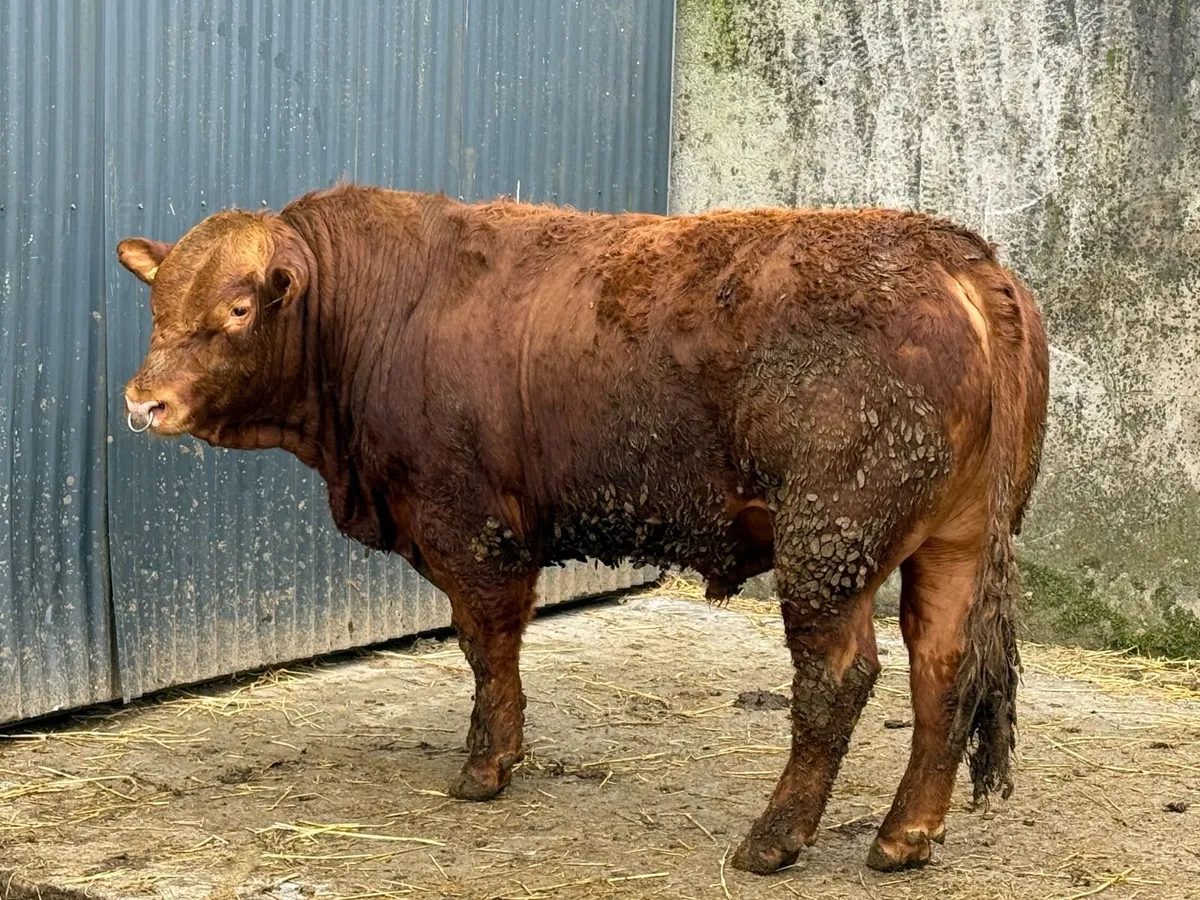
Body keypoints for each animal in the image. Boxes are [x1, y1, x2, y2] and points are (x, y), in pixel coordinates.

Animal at [117, 183, 1049, 875]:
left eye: (240, 308)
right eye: (158, 304)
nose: (142, 401)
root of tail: (954, 253)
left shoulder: (468, 526)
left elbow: (487, 646)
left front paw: (486, 767)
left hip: (830, 542)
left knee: (838, 679)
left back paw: (774, 838)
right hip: (957, 539)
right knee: (944, 670)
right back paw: (903, 836)